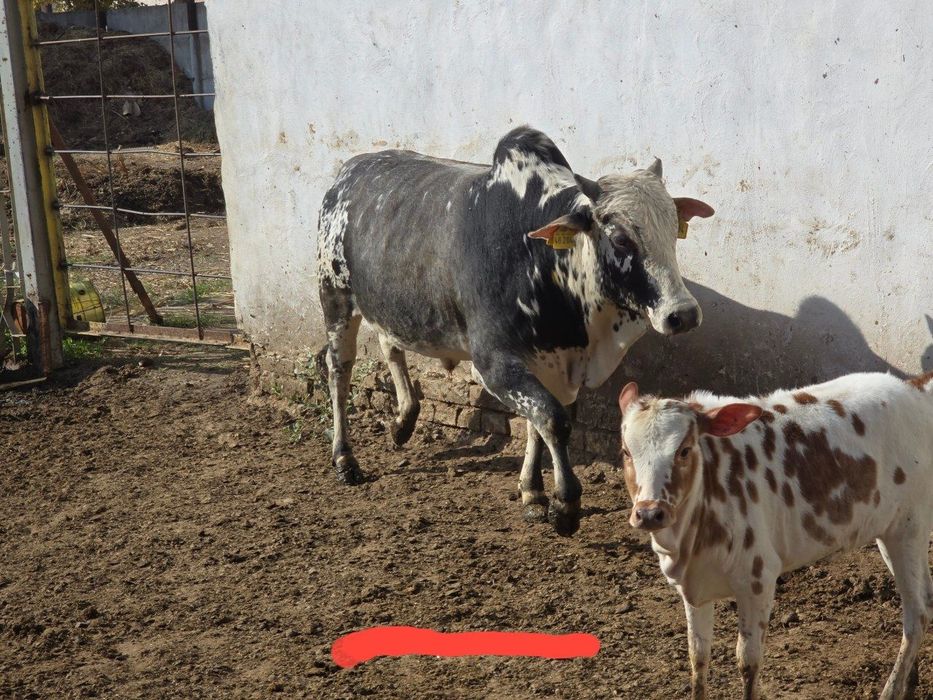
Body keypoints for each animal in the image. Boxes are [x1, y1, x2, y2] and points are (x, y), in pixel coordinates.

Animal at [317, 126, 714, 535]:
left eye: (673, 231)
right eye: (621, 238)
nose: (683, 314)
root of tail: (350, 170)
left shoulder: (552, 362)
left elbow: (537, 423)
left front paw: (533, 493)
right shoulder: (495, 364)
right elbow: (553, 420)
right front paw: (564, 504)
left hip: (388, 305)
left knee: (390, 345)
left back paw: (403, 422)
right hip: (335, 297)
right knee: (338, 370)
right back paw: (345, 459)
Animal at [618, 371, 933, 699]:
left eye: (684, 450)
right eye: (626, 452)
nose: (649, 513)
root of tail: (915, 387)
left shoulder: (758, 578)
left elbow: (748, 661)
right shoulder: (692, 589)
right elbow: (698, 656)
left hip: (908, 529)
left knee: (917, 614)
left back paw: (892, 689)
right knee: (927, 598)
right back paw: (909, 683)